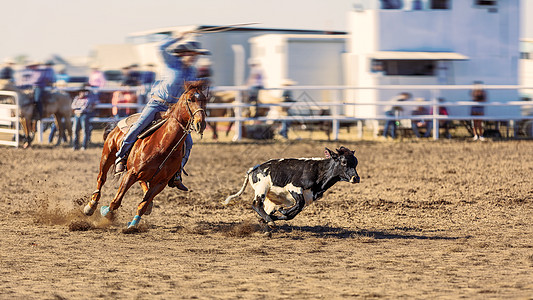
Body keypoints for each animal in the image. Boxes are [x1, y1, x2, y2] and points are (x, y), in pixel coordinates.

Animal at [83, 79, 208, 230]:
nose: (201, 124)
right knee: (101, 178)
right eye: (190, 99)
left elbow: (143, 204)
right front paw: (105, 211)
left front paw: (133, 225)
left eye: (205, 100)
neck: (163, 145)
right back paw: (91, 206)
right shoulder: (131, 173)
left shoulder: (161, 182)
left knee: (143, 184)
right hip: (107, 156)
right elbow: (116, 201)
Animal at [222, 146, 360, 229]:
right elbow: (298, 204)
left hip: (271, 198)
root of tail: (254, 168)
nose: (356, 178)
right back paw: (270, 221)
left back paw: (267, 221)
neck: (319, 170)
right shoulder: (294, 187)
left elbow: (293, 213)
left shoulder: (309, 197)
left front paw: (279, 214)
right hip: (262, 188)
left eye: (356, 163)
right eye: (344, 162)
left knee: (265, 209)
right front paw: (282, 212)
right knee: (256, 204)